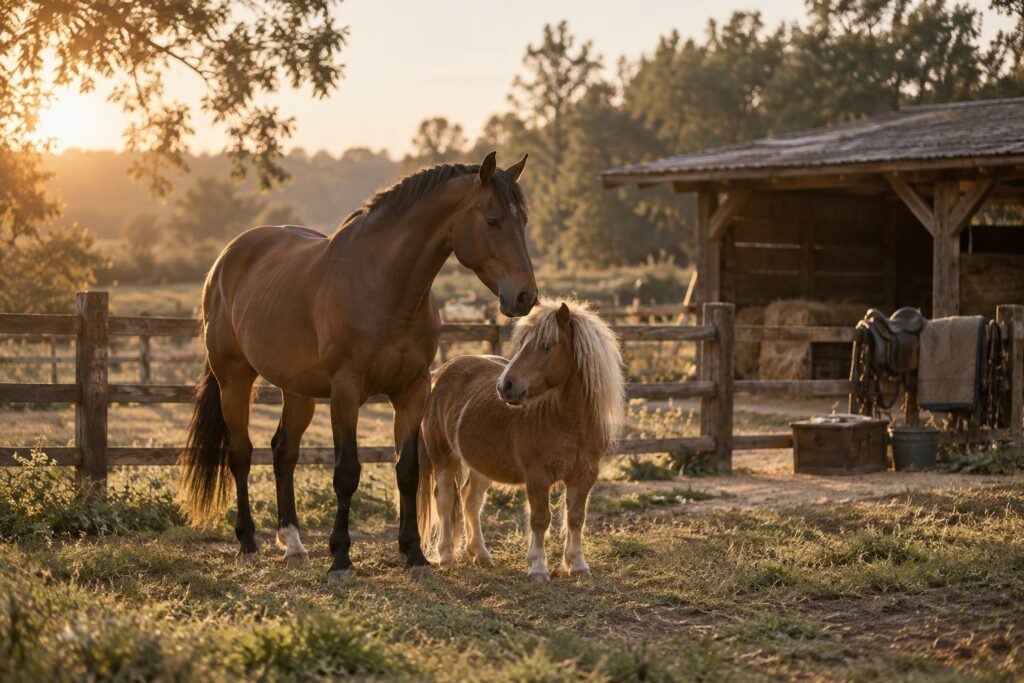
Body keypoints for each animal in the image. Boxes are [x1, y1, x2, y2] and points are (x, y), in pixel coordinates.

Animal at [179, 152, 536, 583]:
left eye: (524, 220)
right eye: (492, 220)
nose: (525, 296)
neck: (384, 286)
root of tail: (225, 260)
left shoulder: (413, 391)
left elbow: (408, 470)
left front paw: (414, 553)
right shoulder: (347, 392)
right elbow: (347, 472)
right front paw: (340, 557)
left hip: (297, 391)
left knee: (283, 453)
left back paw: (293, 544)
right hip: (234, 379)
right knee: (241, 454)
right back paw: (248, 541)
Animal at [417, 299, 624, 581]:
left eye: (546, 346)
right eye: (525, 343)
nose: (505, 386)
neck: (568, 421)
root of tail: (441, 372)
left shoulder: (585, 475)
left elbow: (575, 517)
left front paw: (578, 564)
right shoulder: (537, 476)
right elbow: (540, 518)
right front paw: (538, 567)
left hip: (483, 464)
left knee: (471, 499)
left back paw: (481, 555)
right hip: (443, 458)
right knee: (446, 499)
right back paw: (447, 556)